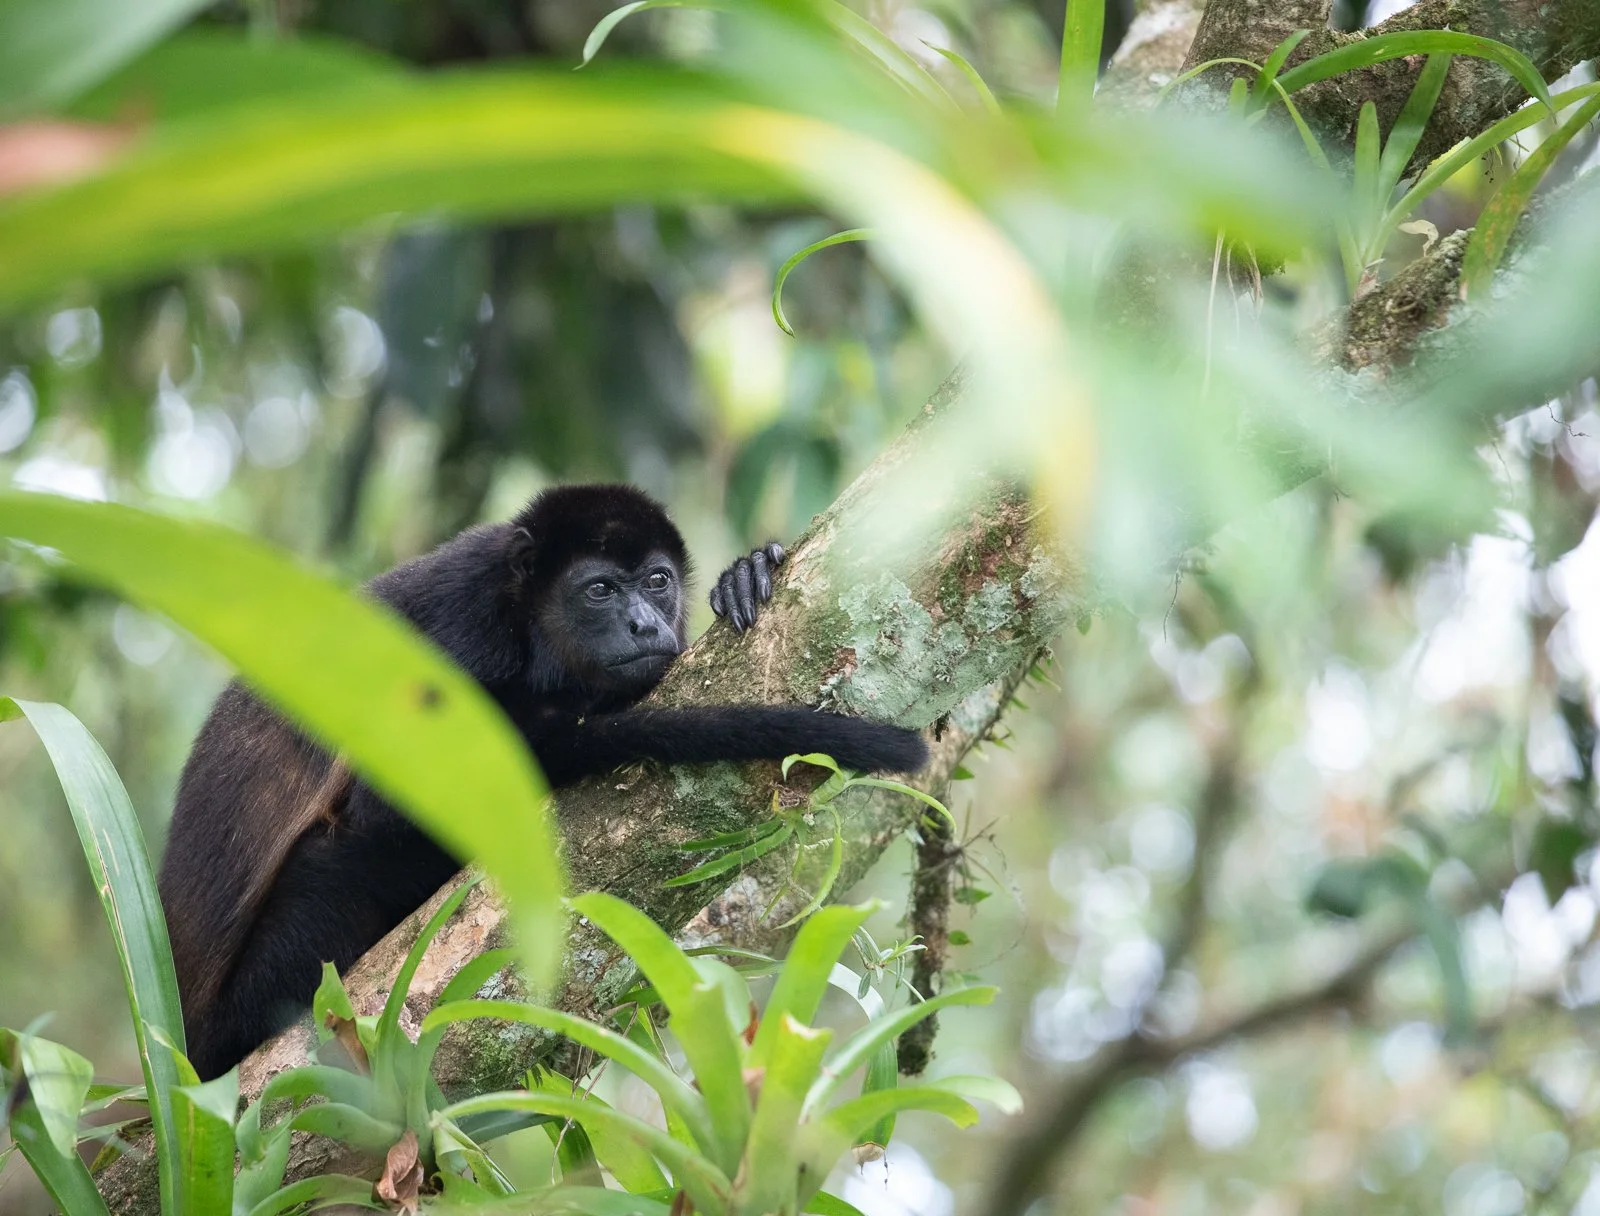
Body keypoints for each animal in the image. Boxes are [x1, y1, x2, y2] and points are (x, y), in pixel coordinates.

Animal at [158, 484, 927, 1079]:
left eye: (656, 581)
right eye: (599, 590)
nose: (644, 623)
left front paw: (744, 572)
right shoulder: (463, 620)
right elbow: (391, 802)